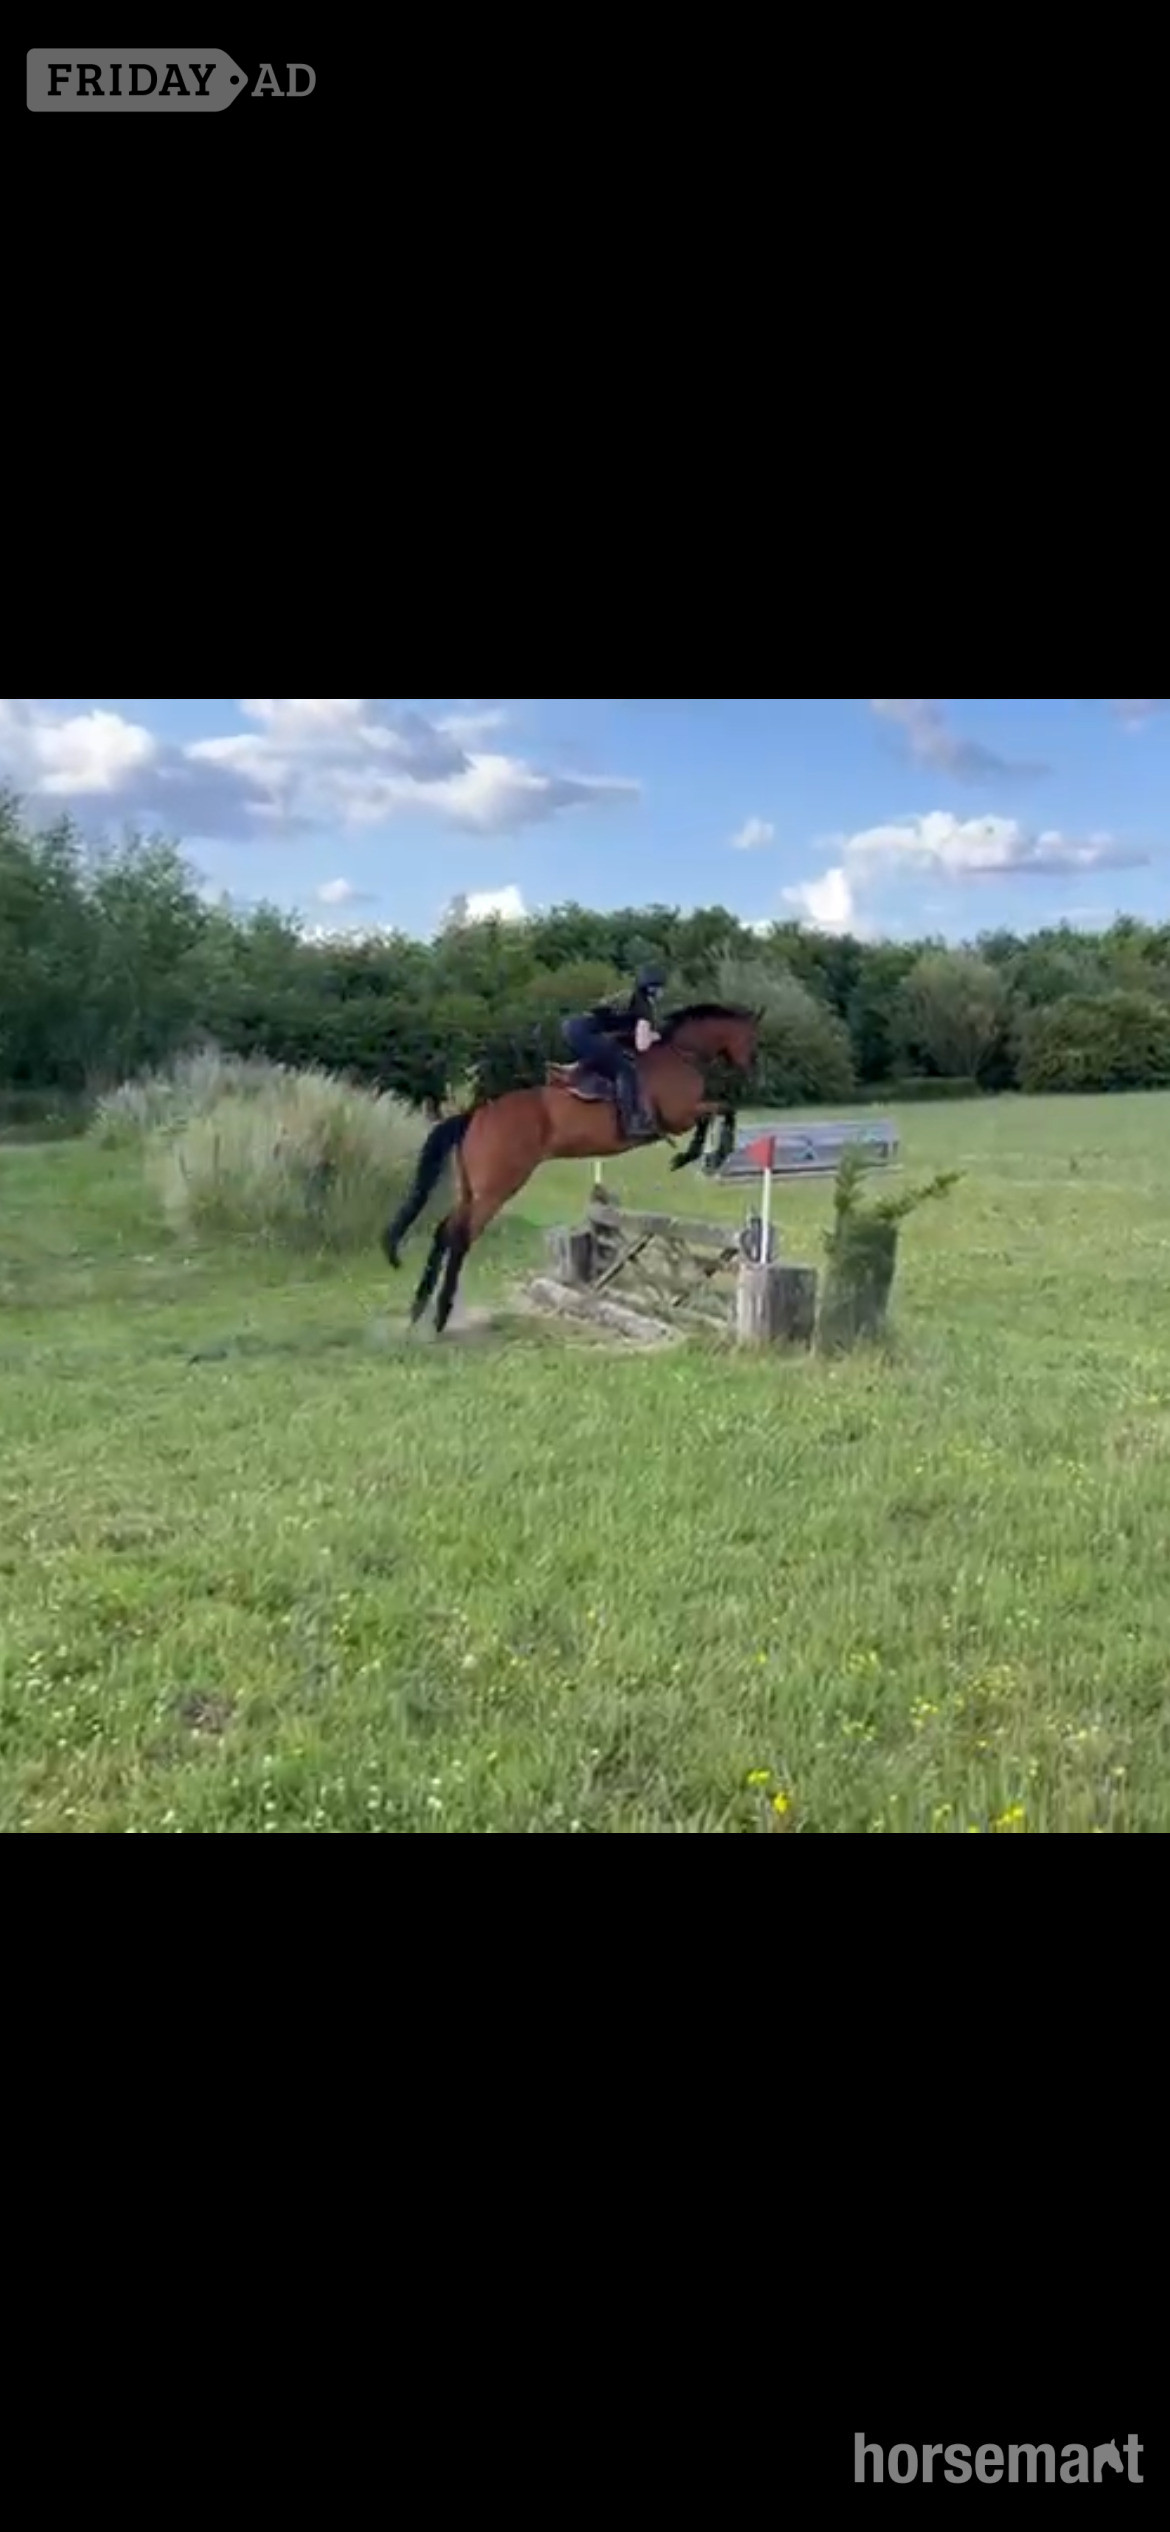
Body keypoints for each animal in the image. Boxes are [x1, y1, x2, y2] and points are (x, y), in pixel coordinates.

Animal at [383, 1002, 761, 1334]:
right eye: (751, 1039)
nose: (750, 1071)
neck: (681, 1053)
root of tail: (475, 1115)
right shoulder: (678, 1116)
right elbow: (721, 1110)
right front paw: (702, 1156)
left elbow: (719, 1111)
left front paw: (700, 1156)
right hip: (497, 1188)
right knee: (460, 1236)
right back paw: (440, 1315)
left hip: (471, 1188)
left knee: (444, 1230)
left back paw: (419, 1308)